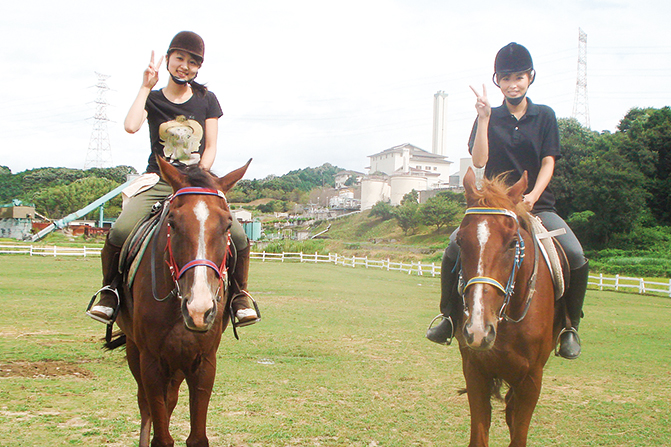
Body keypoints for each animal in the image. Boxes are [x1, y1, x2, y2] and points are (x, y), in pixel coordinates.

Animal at [111, 158, 251, 447]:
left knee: (170, 399)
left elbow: (196, 437)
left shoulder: (204, 361)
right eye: (173, 223)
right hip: (136, 351)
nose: (199, 310)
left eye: (228, 225)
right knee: (146, 405)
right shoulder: (151, 361)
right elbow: (160, 433)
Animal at [456, 167, 560, 447]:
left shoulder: (532, 379)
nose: (478, 331)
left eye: (514, 242)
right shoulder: (475, 371)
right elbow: (478, 437)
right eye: (459, 241)